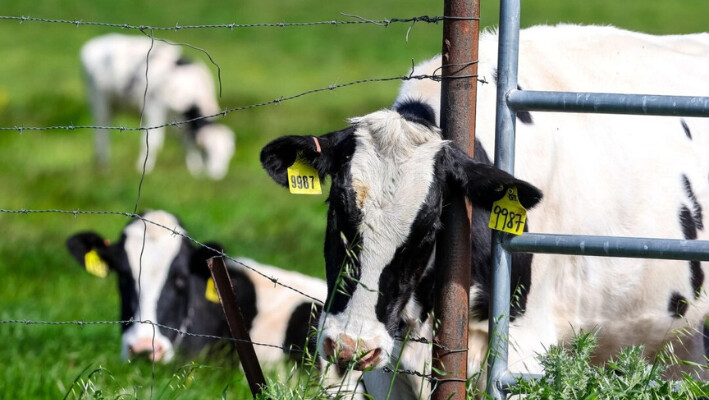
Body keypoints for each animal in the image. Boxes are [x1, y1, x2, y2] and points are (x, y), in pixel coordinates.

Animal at [80, 33, 235, 180]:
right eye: (207, 152)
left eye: (228, 155)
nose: (217, 176)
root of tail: (94, 43)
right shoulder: (154, 107)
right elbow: (153, 142)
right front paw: (143, 169)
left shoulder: (180, 121)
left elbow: (187, 143)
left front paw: (195, 171)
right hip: (98, 100)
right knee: (101, 133)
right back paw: (103, 165)